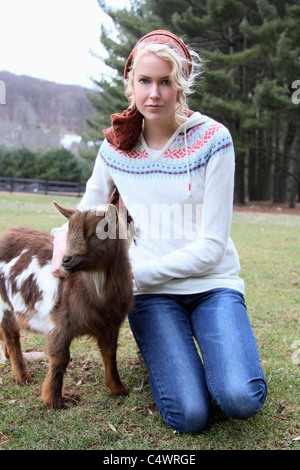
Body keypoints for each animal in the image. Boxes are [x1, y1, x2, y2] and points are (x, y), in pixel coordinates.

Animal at [0, 202, 134, 408]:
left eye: (95, 233)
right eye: (69, 232)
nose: (65, 260)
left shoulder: (111, 325)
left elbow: (110, 354)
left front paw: (118, 389)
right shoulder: (59, 323)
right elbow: (60, 359)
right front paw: (53, 400)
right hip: (5, 306)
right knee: (12, 337)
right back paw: (23, 378)